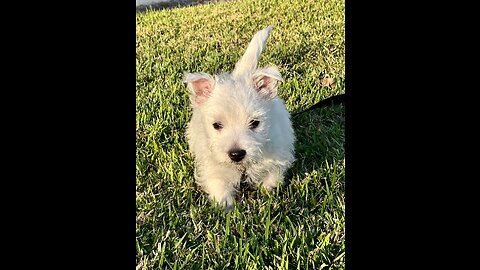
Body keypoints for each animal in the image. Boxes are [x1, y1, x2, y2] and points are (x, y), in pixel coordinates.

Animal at [186, 25, 294, 209]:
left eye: (255, 123)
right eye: (216, 125)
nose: (236, 154)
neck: (243, 167)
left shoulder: (278, 153)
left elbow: (272, 175)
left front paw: (266, 191)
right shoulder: (214, 165)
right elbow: (219, 184)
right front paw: (225, 206)